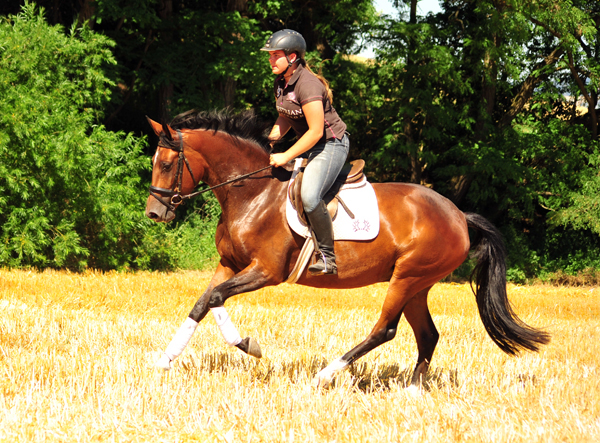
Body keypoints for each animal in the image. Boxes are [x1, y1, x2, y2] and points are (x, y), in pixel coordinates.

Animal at [144, 110, 548, 388]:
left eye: (166, 163)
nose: (154, 213)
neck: (252, 193)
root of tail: (459, 215)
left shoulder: (265, 271)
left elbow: (216, 300)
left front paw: (249, 345)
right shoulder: (229, 264)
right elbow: (202, 303)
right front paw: (165, 360)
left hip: (407, 277)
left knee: (385, 330)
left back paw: (325, 375)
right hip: (418, 285)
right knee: (427, 334)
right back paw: (413, 391)